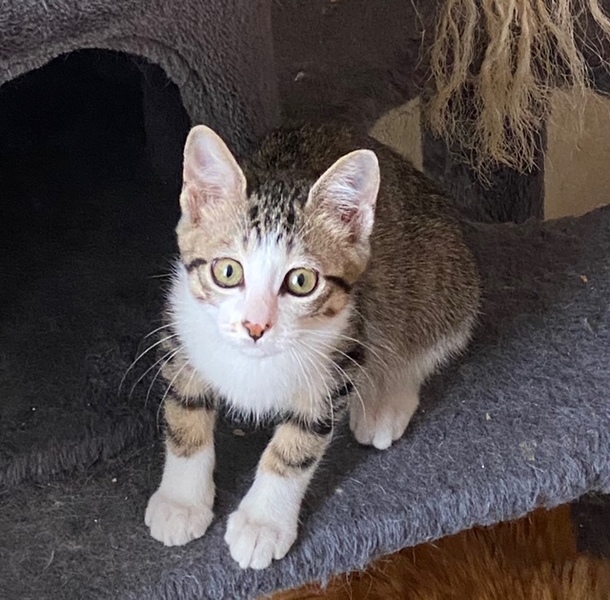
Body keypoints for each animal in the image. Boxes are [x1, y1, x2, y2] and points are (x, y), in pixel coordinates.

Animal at [144, 122, 481, 570]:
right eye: (228, 271)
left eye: (302, 281)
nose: (256, 325)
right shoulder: (181, 329)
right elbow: (184, 414)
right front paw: (181, 502)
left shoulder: (340, 357)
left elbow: (297, 445)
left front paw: (262, 522)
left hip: (442, 283)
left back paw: (385, 399)